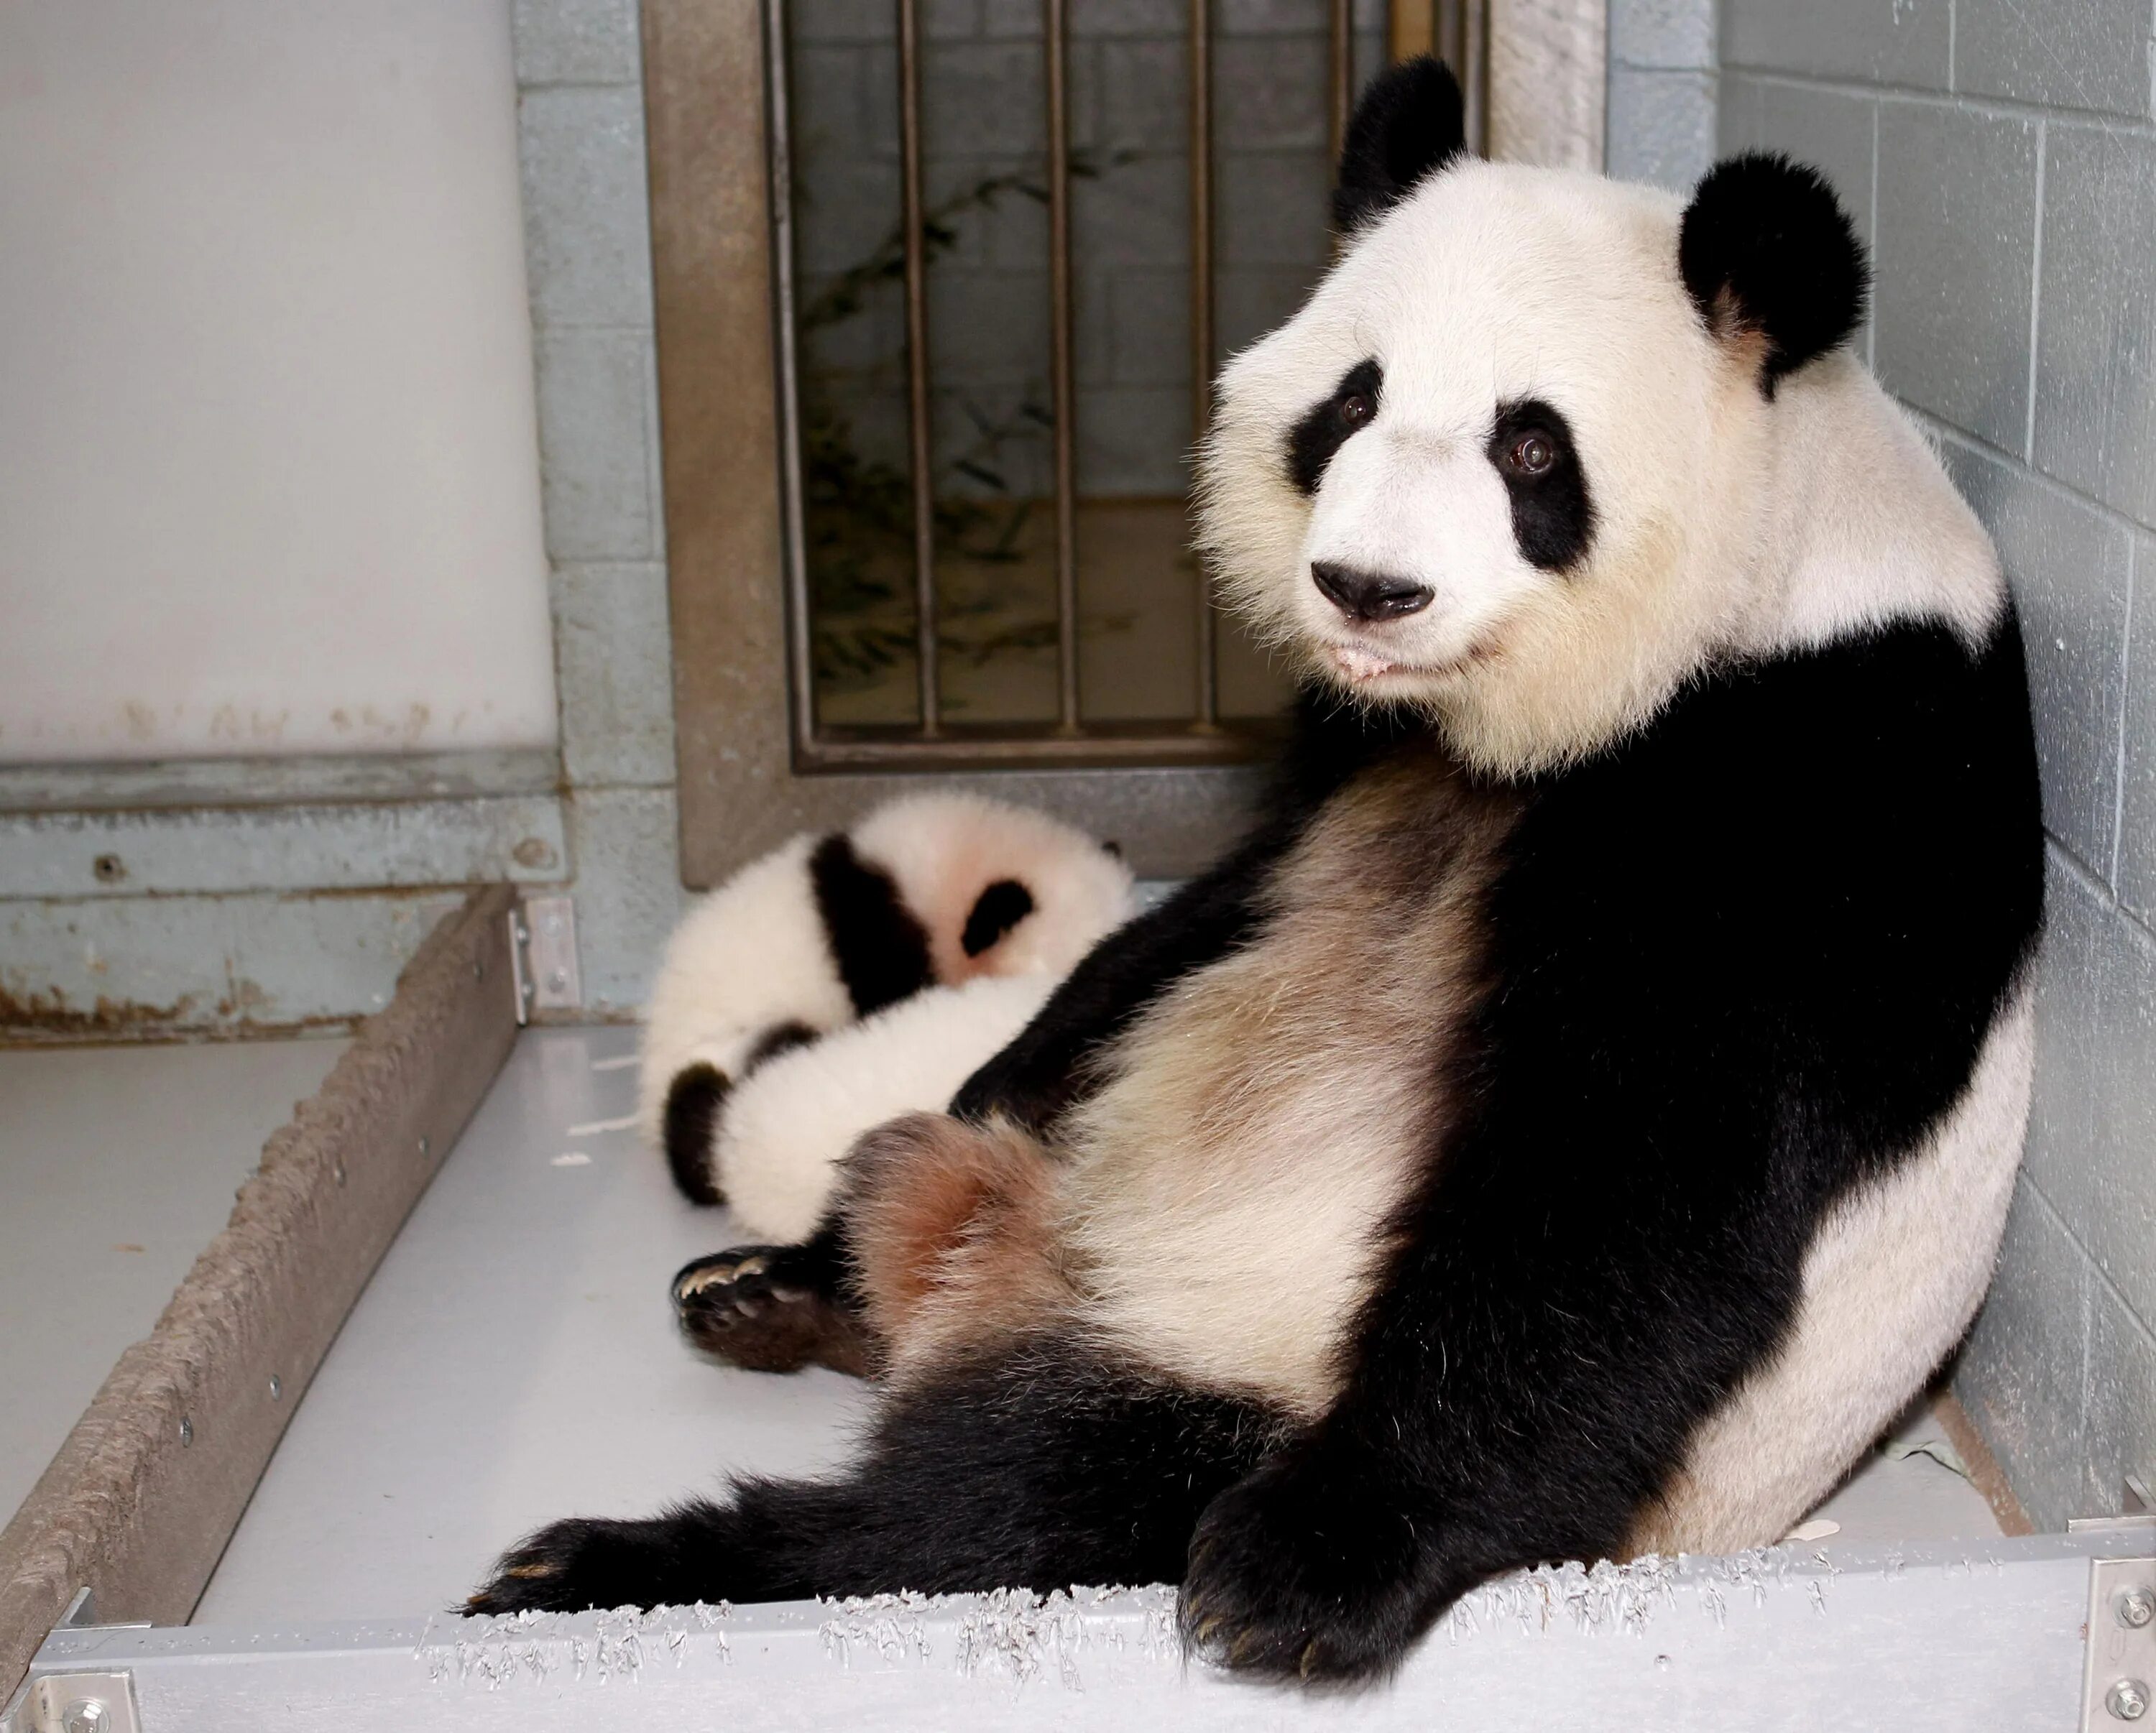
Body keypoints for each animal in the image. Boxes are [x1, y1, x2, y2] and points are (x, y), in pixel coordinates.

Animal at [472, 60, 2035, 1690]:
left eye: (1532, 449)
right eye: (1351, 403)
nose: (1366, 590)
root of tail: (993, 1282)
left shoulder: (1820, 784)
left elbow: (1624, 1190)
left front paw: (1300, 1573)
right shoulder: (1357, 751)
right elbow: (1206, 912)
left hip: (1238, 1363)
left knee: (1003, 1514)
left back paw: (624, 1561)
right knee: (930, 1181)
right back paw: (783, 1287)